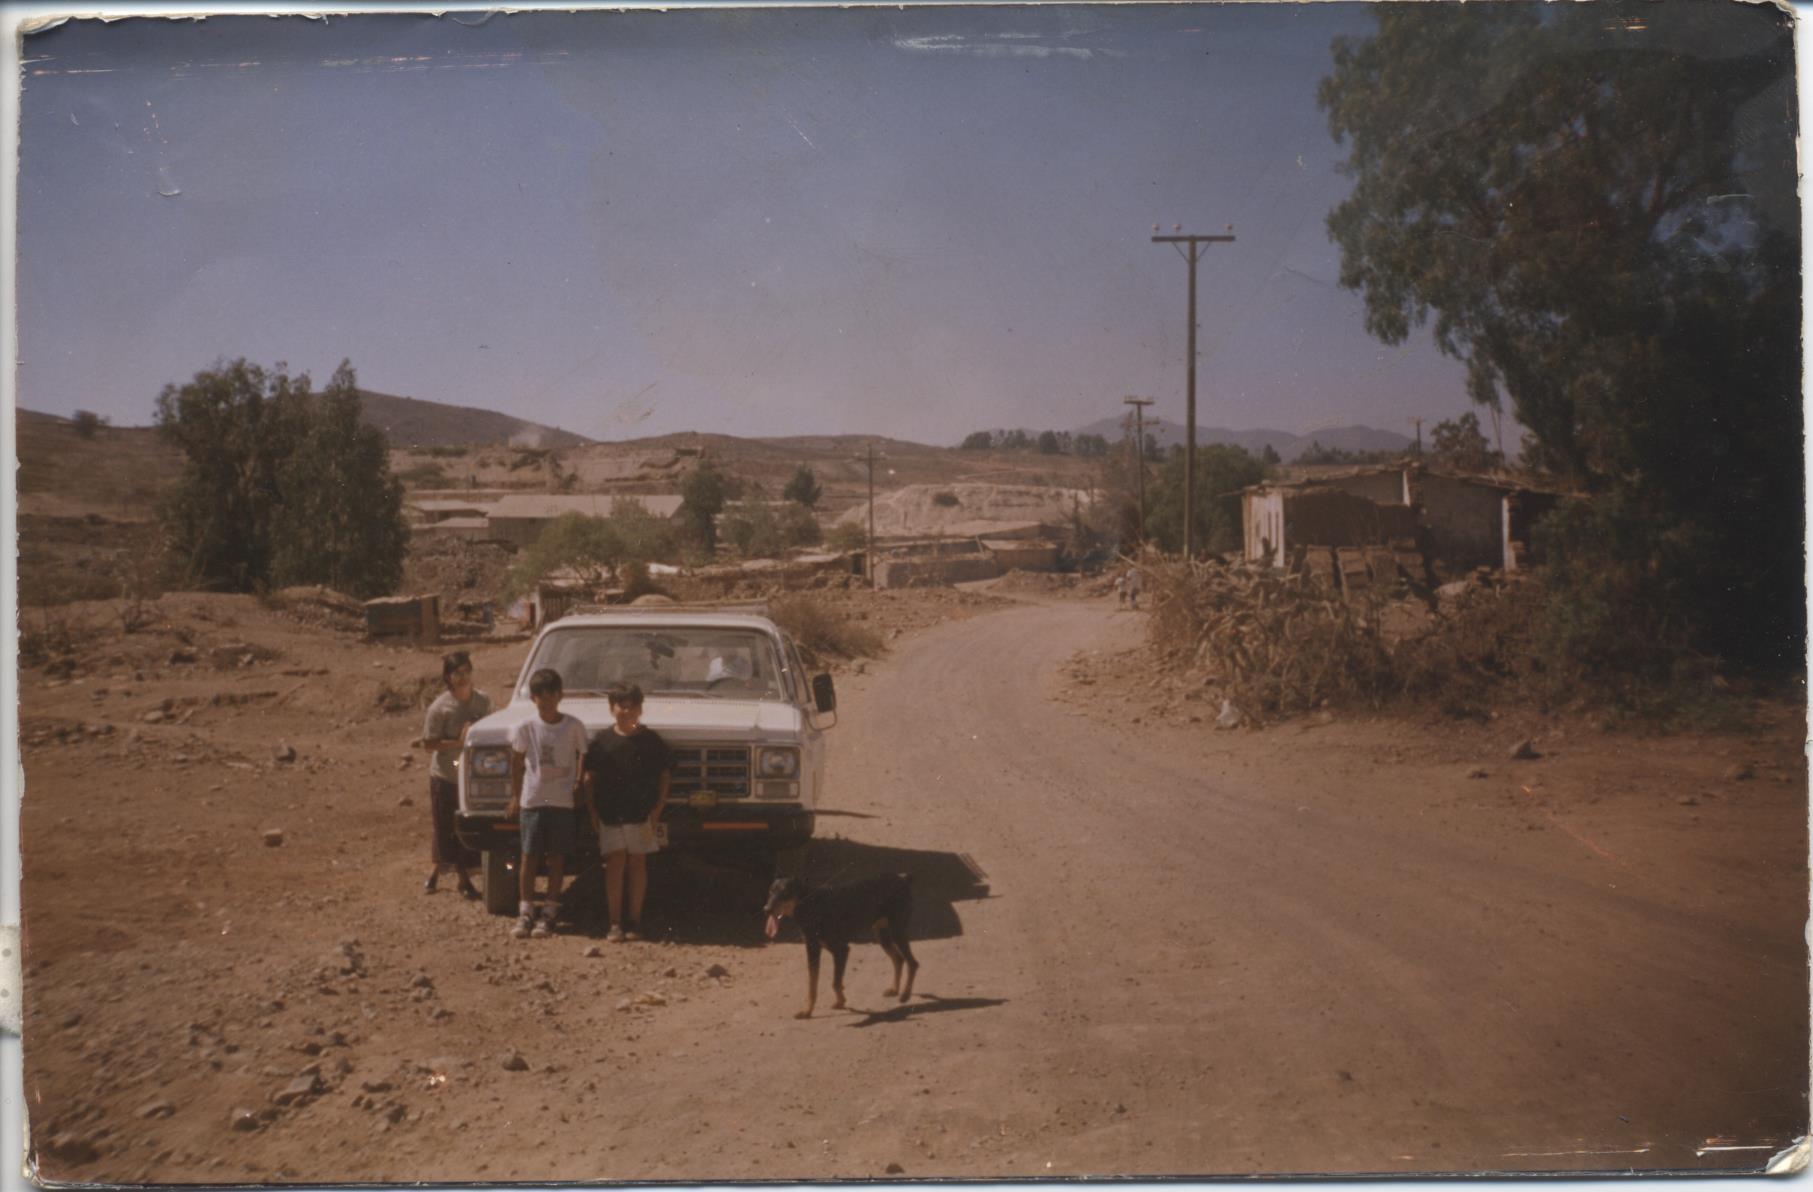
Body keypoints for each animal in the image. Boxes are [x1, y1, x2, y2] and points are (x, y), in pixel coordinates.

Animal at [765, 870, 921, 1016]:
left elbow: (835, 982)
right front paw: (807, 1011)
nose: (766, 909)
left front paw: (841, 1001)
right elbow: (812, 985)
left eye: (785, 893)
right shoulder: (812, 949)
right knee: (899, 959)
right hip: (882, 935)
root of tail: (903, 879)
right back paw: (894, 989)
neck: (811, 905)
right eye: (771, 891)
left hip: (897, 931)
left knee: (913, 963)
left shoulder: (841, 950)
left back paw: (905, 995)